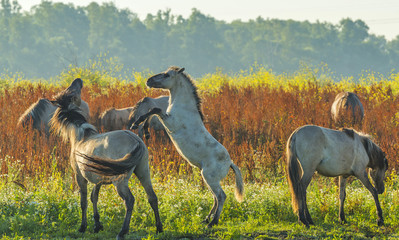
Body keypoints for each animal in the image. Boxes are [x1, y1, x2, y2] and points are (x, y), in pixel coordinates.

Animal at [50, 78, 162, 238]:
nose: (79, 80)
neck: (80, 137)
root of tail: (136, 140)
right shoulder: (98, 180)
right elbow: (94, 197)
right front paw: (97, 225)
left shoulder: (79, 176)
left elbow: (84, 201)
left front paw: (83, 227)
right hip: (143, 172)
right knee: (152, 197)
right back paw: (159, 228)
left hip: (120, 181)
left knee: (129, 200)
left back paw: (122, 231)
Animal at [131, 66, 244, 228]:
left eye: (167, 75)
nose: (148, 81)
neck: (183, 106)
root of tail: (230, 163)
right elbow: (152, 113)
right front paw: (144, 130)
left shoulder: (170, 122)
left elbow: (155, 110)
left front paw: (137, 123)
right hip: (207, 179)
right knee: (215, 197)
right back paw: (206, 219)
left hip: (210, 178)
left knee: (221, 196)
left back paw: (213, 222)